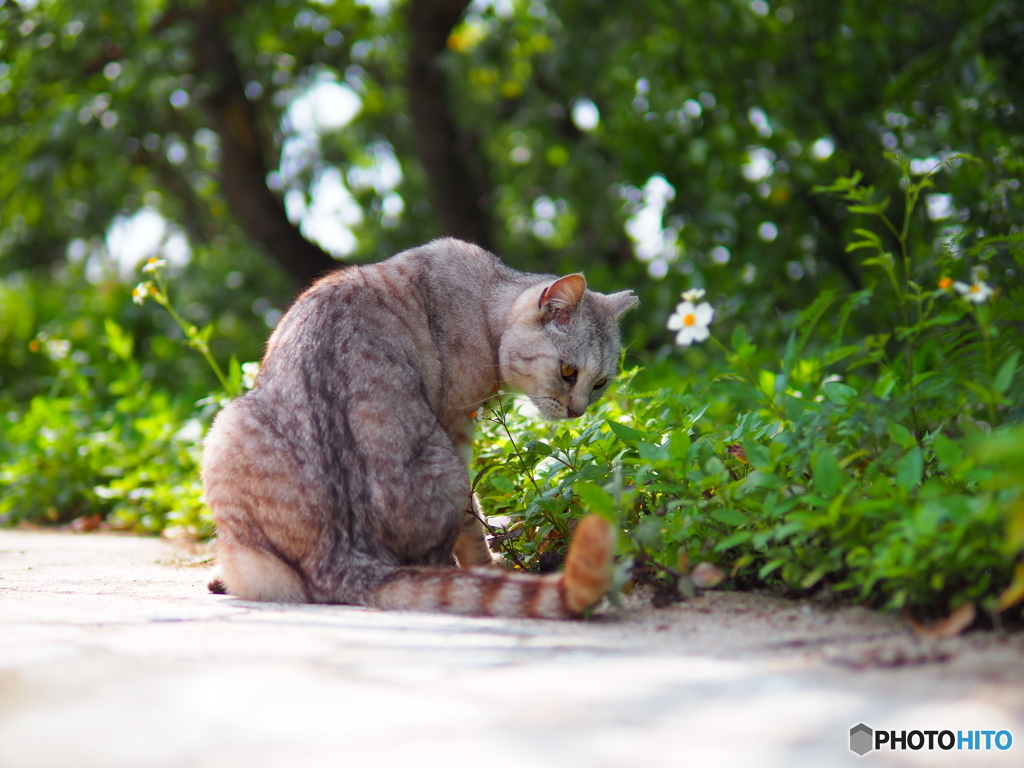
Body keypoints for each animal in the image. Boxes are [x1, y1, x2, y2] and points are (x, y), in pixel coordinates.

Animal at [200, 237, 634, 622]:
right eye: (568, 371)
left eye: (600, 383)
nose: (578, 411)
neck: (486, 303)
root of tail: (345, 556)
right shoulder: (457, 427)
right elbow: (471, 522)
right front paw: (492, 564)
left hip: (228, 429)